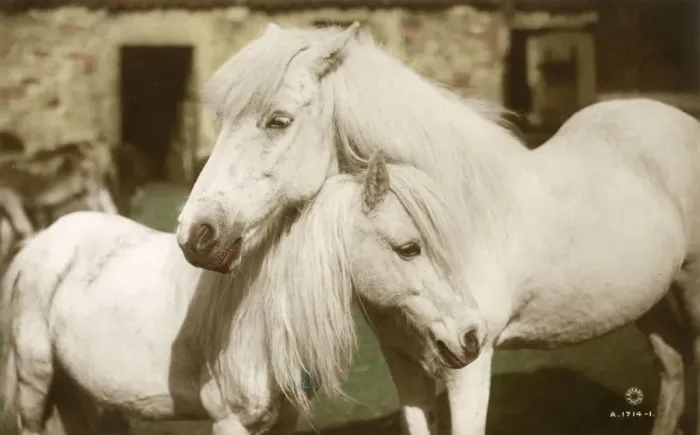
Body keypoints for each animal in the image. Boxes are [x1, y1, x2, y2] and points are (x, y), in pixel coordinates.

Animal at [0, 154, 487, 435]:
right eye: (409, 248)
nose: (472, 336)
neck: (259, 321)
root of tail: (38, 245)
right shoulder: (230, 421)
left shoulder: (282, 422)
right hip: (36, 385)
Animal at [175, 22, 700, 435]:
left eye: (278, 120)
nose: (195, 236)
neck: (458, 220)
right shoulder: (405, 365)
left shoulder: (471, 364)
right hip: (650, 300)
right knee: (673, 371)